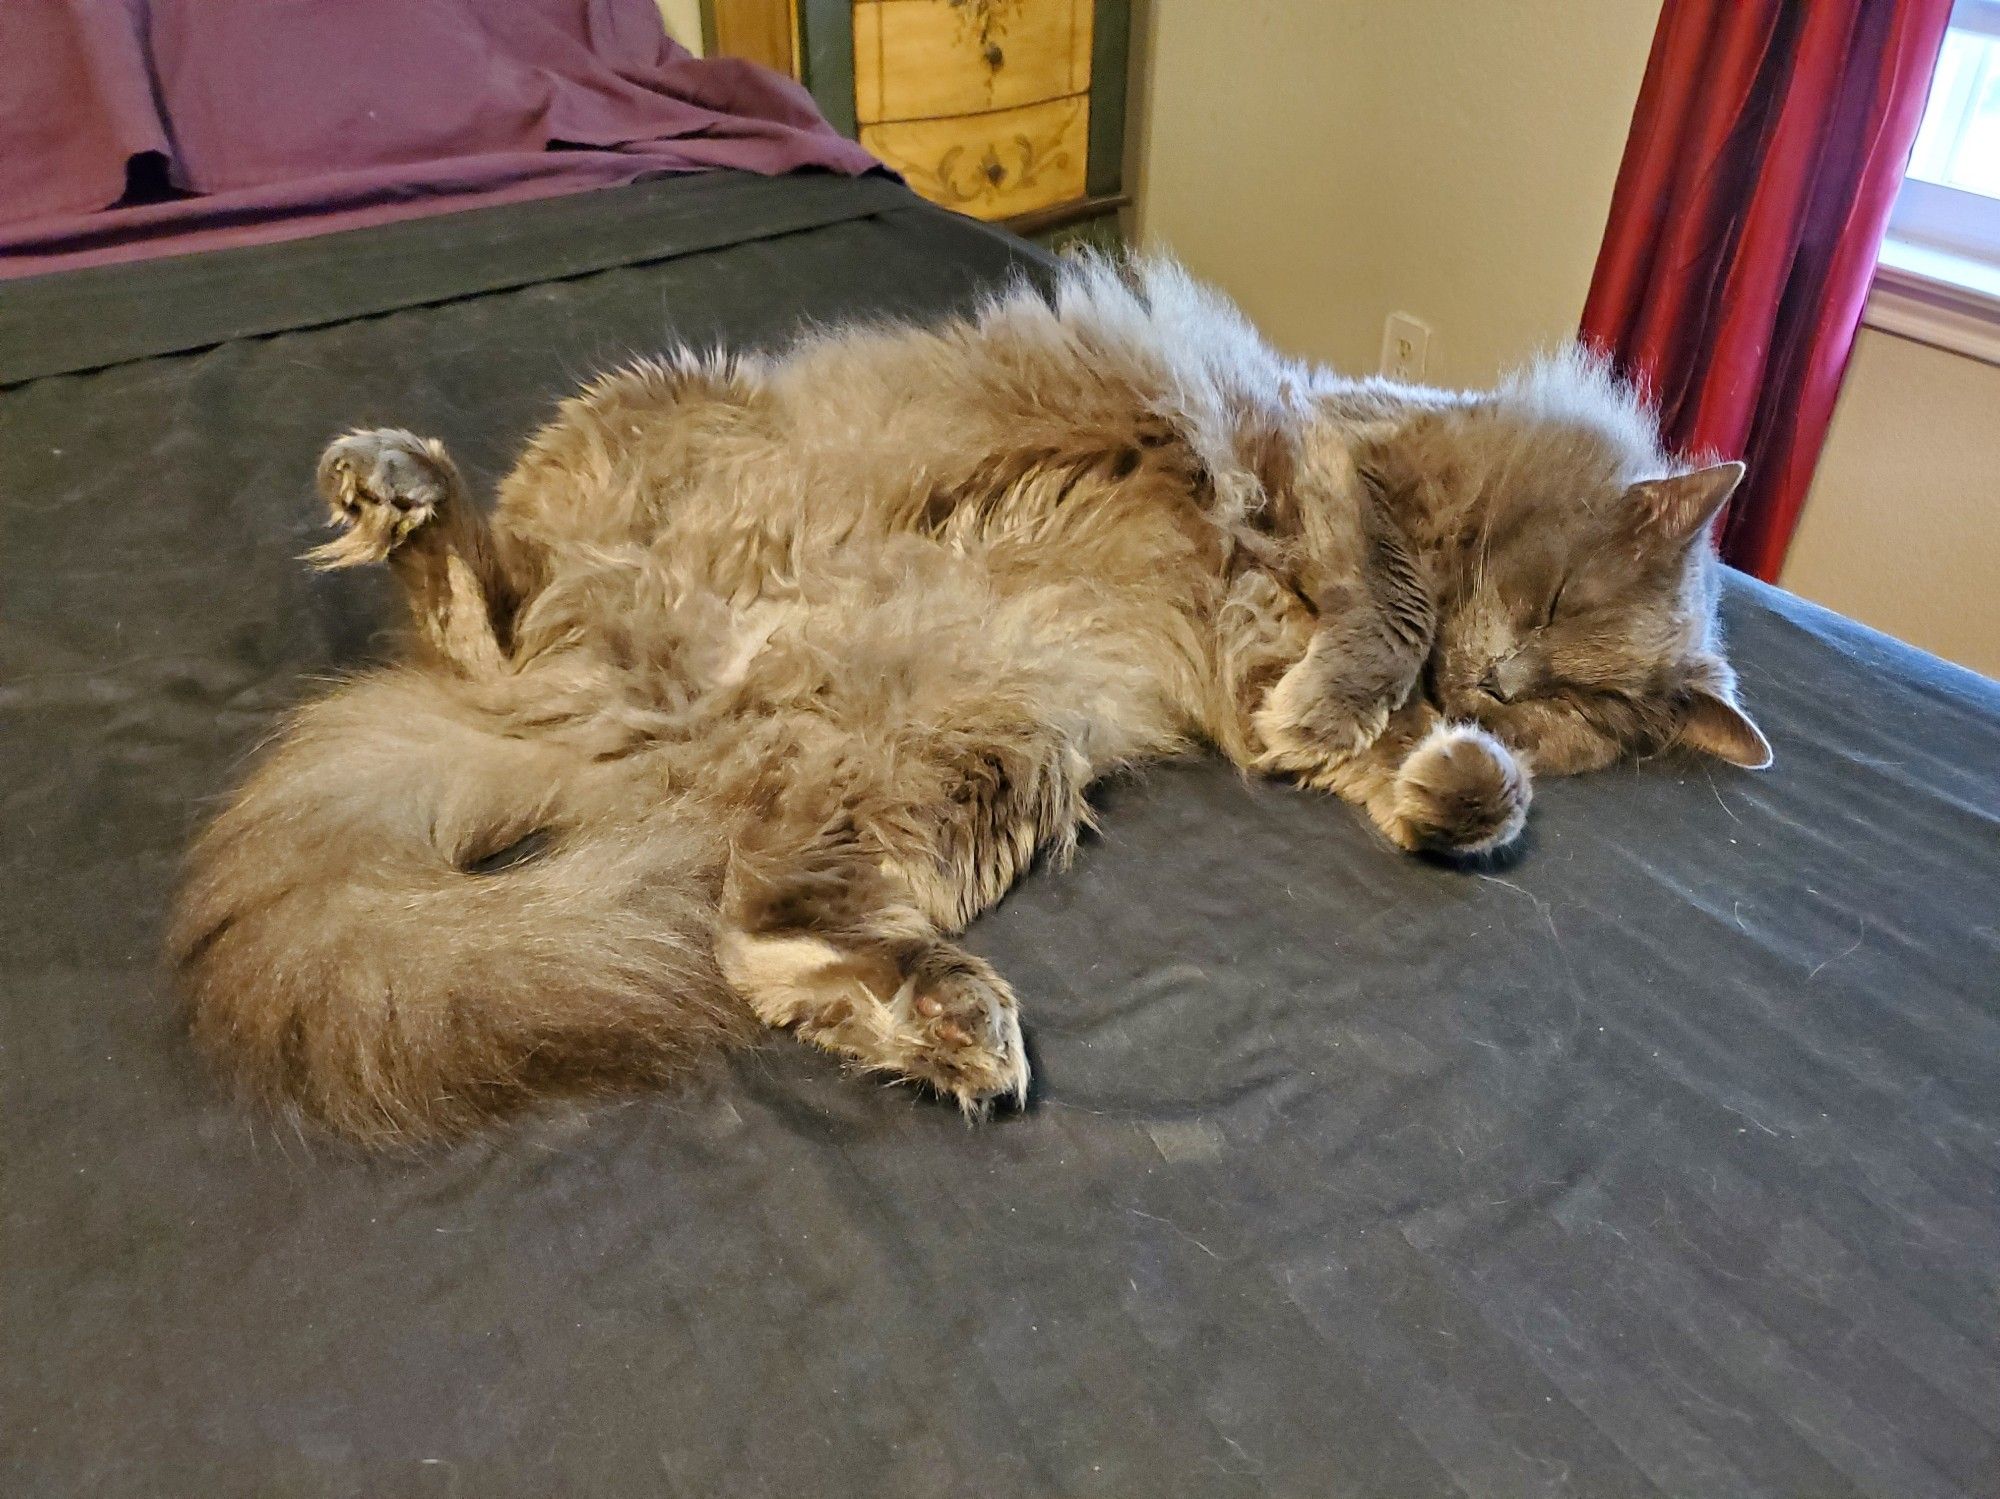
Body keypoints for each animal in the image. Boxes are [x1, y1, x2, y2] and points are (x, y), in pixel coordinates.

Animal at [168, 261, 1768, 1151]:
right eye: (1553, 622)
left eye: (1581, 707)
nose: (1506, 687)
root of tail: (644, 733)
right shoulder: (1340, 460)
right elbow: (1383, 606)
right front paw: (1373, 700)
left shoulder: (1257, 680)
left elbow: (1416, 777)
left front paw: (1461, 782)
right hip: (671, 434)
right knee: (489, 618)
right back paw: (396, 484)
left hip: (975, 756)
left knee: (759, 935)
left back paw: (941, 1024)